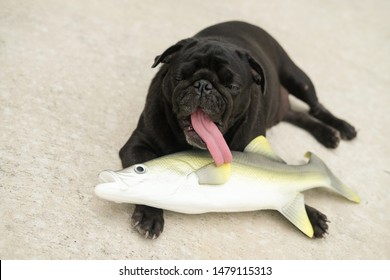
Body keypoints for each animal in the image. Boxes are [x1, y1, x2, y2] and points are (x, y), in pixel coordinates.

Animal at [119, 21, 356, 238]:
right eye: (179, 77)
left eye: (232, 86)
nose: (203, 85)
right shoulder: (137, 145)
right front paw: (150, 214)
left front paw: (310, 215)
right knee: (298, 115)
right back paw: (327, 133)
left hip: (299, 80)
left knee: (316, 107)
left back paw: (341, 129)